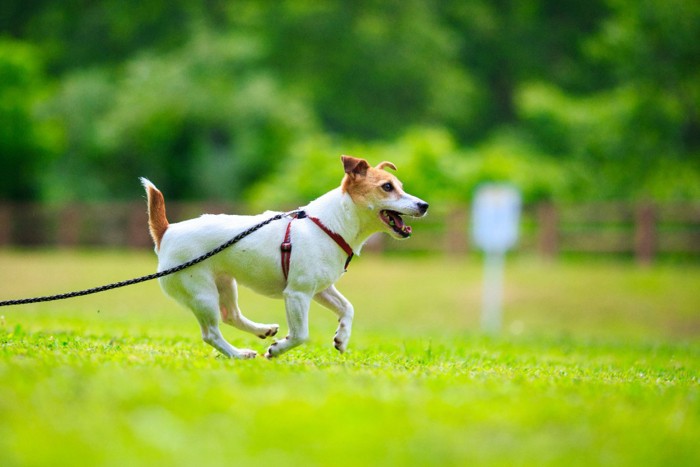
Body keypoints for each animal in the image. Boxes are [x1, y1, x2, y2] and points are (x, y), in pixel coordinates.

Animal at [141, 155, 426, 360]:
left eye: (400, 186)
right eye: (387, 187)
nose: (424, 205)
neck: (331, 225)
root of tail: (167, 232)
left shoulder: (320, 289)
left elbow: (347, 307)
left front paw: (342, 337)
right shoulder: (297, 293)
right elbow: (301, 334)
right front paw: (277, 350)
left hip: (224, 282)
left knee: (230, 315)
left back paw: (262, 330)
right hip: (201, 293)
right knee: (211, 333)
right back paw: (238, 354)